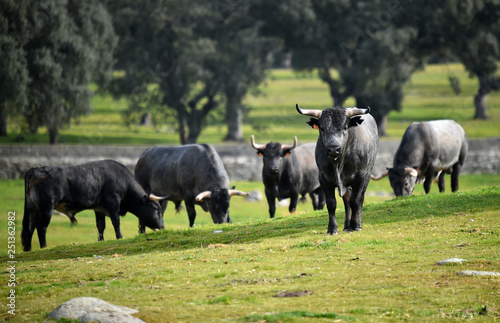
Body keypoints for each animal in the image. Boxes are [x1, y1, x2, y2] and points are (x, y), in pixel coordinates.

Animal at [21, 161, 166, 252]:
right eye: (157, 209)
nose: (162, 227)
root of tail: (35, 170)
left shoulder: (99, 209)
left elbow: (101, 226)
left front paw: (101, 240)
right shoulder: (114, 203)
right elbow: (116, 222)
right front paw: (120, 236)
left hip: (33, 210)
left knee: (29, 228)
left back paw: (28, 249)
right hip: (46, 209)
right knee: (41, 227)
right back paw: (44, 247)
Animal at [294, 105, 376, 234]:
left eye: (345, 128)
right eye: (322, 128)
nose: (333, 149)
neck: (338, 163)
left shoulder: (360, 176)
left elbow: (355, 201)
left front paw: (356, 226)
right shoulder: (324, 178)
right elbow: (331, 203)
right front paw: (332, 229)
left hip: (367, 175)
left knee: (359, 199)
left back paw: (356, 224)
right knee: (346, 201)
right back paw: (347, 226)